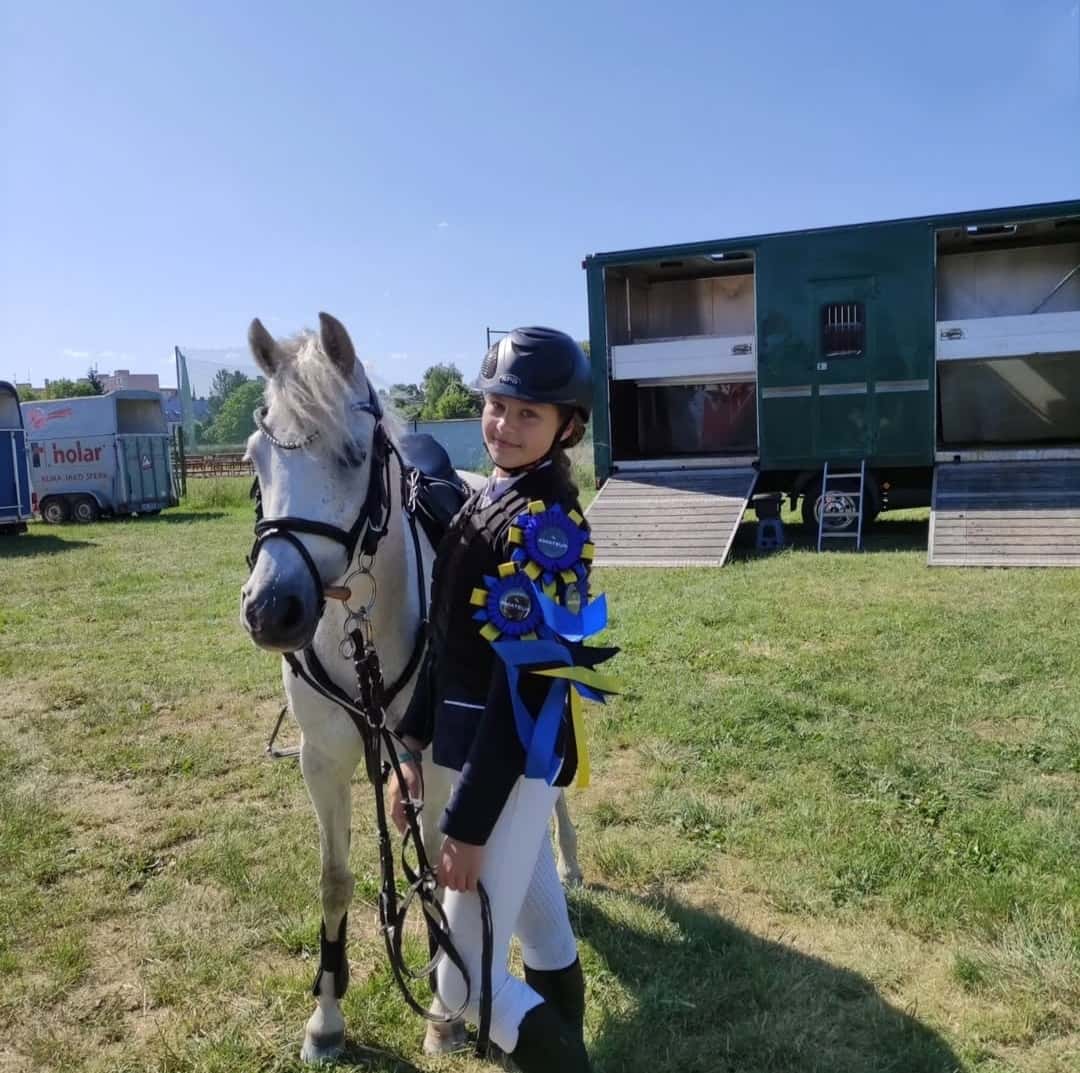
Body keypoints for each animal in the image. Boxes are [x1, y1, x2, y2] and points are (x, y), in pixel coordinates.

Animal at [239, 313, 582, 1062]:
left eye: (349, 456)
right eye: (255, 459)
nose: (270, 610)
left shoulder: (439, 755)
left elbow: (435, 868)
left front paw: (443, 1016)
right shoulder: (322, 760)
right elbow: (336, 879)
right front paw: (325, 1019)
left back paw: (568, 862)